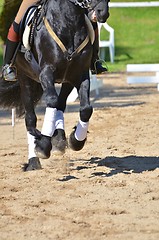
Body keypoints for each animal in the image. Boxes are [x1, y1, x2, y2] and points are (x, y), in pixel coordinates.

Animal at [0, 0, 109, 171]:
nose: (102, 12)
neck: (69, 23)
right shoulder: (46, 73)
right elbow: (51, 101)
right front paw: (43, 146)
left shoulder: (79, 75)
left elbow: (86, 109)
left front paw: (76, 141)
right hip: (25, 79)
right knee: (30, 118)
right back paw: (33, 160)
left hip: (66, 81)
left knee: (61, 104)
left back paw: (59, 139)